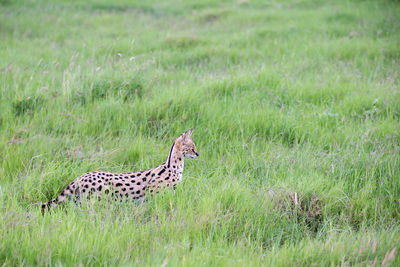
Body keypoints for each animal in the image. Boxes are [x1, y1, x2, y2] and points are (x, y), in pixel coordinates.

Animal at [41, 129, 198, 215]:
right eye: (192, 147)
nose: (198, 154)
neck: (174, 167)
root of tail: (82, 176)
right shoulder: (154, 195)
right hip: (97, 199)